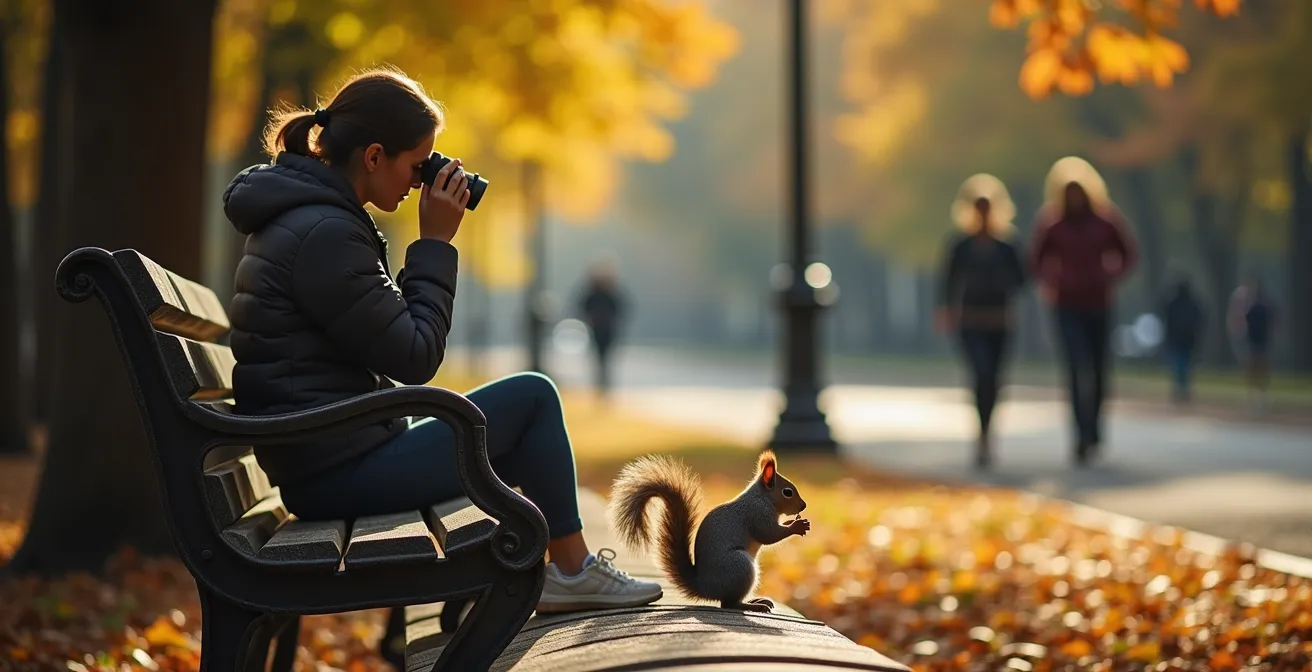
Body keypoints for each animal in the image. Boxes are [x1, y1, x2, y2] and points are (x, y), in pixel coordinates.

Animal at [607, 450, 810, 613]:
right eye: (787, 492)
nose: (803, 506)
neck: (763, 497)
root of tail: (704, 586)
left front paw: (793, 521)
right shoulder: (757, 513)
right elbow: (768, 535)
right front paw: (797, 526)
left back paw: (755, 601)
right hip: (740, 566)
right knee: (728, 604)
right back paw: (753, 606)